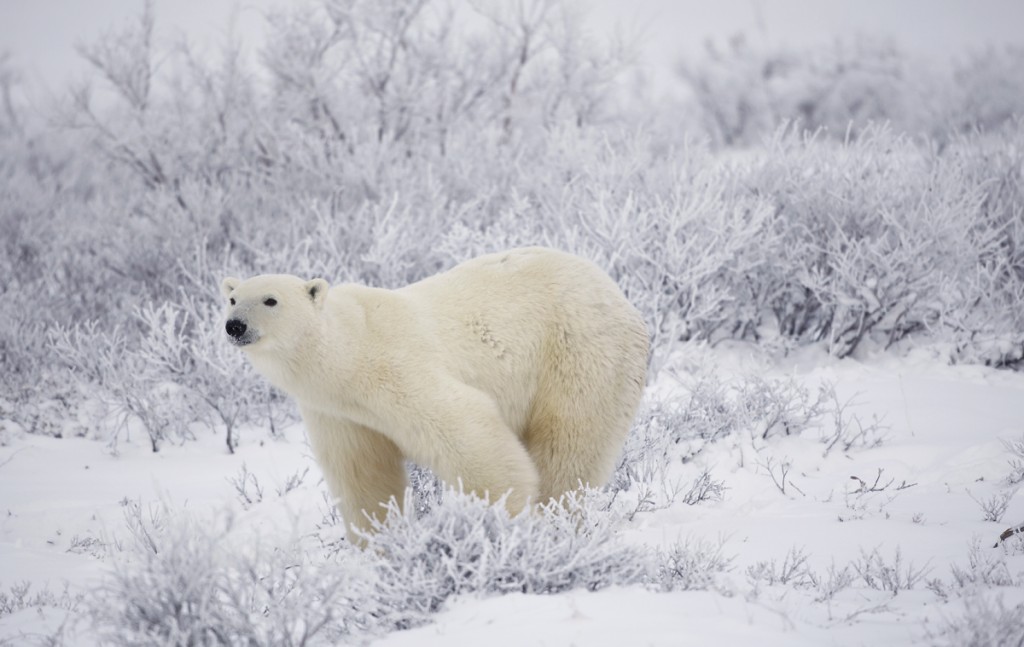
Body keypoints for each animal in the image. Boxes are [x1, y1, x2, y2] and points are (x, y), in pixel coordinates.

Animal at [221, 247, 648, 542]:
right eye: (232, 298)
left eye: (271, 299)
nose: (235, 325)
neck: (349, 354)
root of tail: (617, 292)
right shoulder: (339, 415)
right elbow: (363, 476)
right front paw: (381, 543)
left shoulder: (398, 369)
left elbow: (469, 432)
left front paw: (500, 519)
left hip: (579, 352)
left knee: (569, 446)